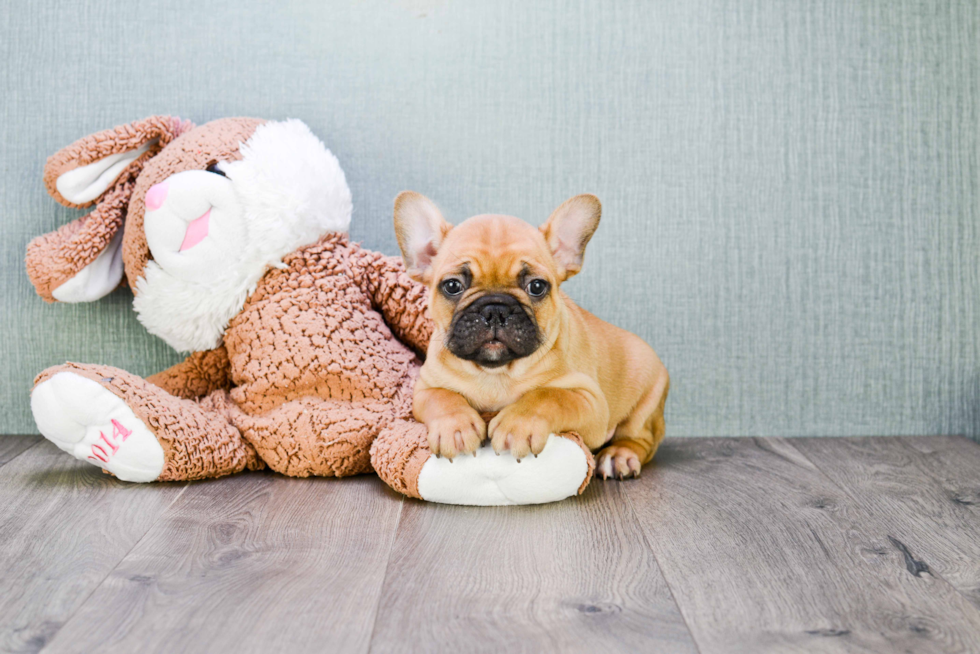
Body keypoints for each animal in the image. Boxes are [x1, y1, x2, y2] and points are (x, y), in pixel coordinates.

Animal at [394, 192, 668, 480]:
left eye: (536, 286)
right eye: (452, 285)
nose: (495, 309)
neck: (495, 372)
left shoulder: (590, 401)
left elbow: (549, 396)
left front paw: (518, 424)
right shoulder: (424, 388)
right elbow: (443, 397)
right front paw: (455, 426)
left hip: (647, 400)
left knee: (641, 439)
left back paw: (619, 455)